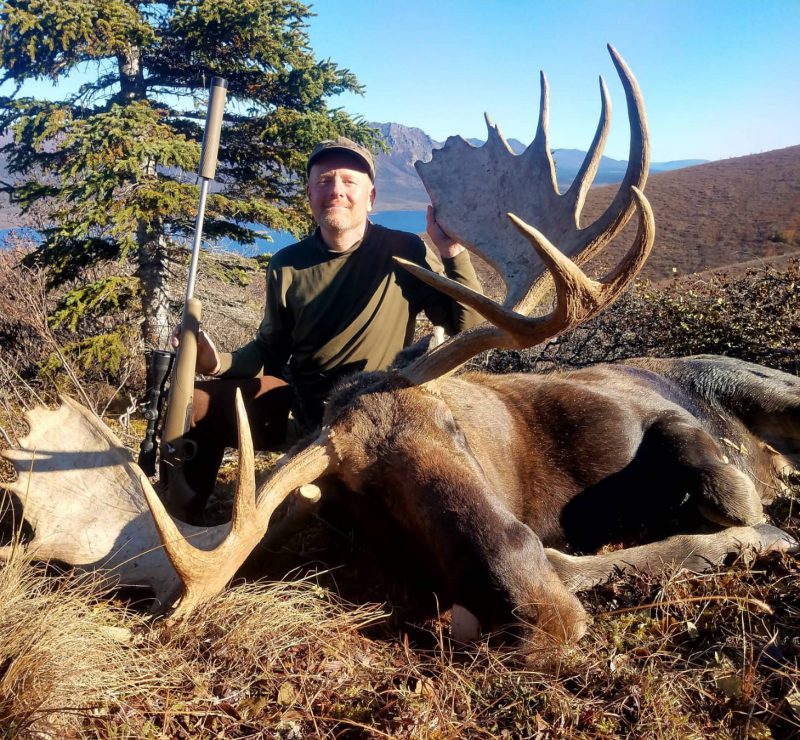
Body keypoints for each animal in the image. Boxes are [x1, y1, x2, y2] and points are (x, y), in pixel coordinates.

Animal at [1, 46, 800, 652]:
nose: (542, 616)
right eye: (367, 491)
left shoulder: (645, 424)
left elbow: (722, 490)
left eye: (454, 429)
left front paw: (755, 530)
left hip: (767, 385)